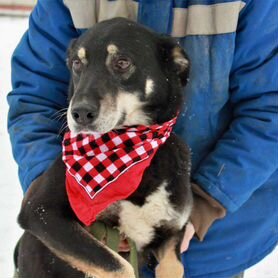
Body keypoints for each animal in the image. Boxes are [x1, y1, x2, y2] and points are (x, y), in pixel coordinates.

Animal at [16, 17, 192, 278]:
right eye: (77, 63)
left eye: (122, 62)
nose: (79, 113)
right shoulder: (40, 210)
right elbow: (119, 266)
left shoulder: (172, 233)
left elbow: (175, 266)